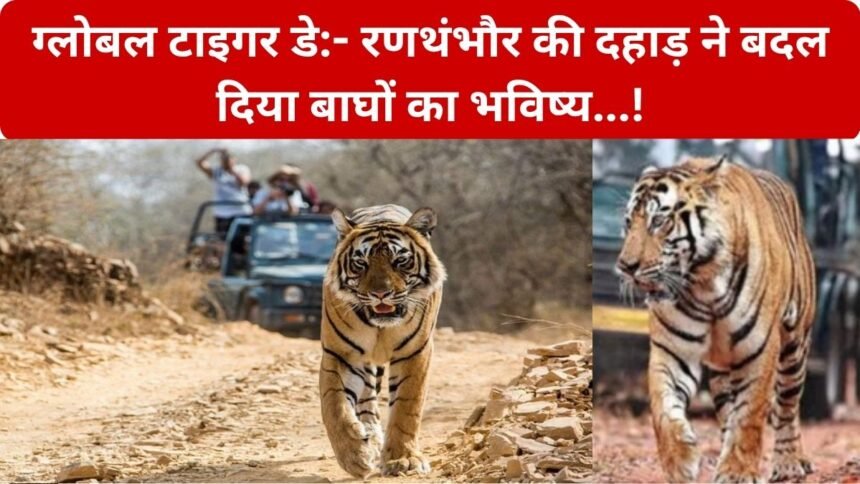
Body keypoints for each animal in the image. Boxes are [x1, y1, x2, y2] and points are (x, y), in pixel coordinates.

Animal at [318, 204, 446, 478]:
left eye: (400, 261)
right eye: (360, 263)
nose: (380, 294)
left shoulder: (414, 353)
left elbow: (407, 408)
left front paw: (403, 459)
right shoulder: (341, 354)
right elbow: (334, 406)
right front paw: (355, 456)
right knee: (367, 399)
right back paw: (370, 438)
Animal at [616, 157, 816, 483]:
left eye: (658, 221)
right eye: (628, 222)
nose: (625, 266)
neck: (703, 283)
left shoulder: (759, 350)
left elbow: (750, 415)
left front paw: (738, 471)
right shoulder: (672, 350)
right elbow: (663, 408)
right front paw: (680, 462)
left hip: (794, 345)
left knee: (788, 404)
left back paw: (788, 462)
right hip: (723, 372)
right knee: (728, 412)